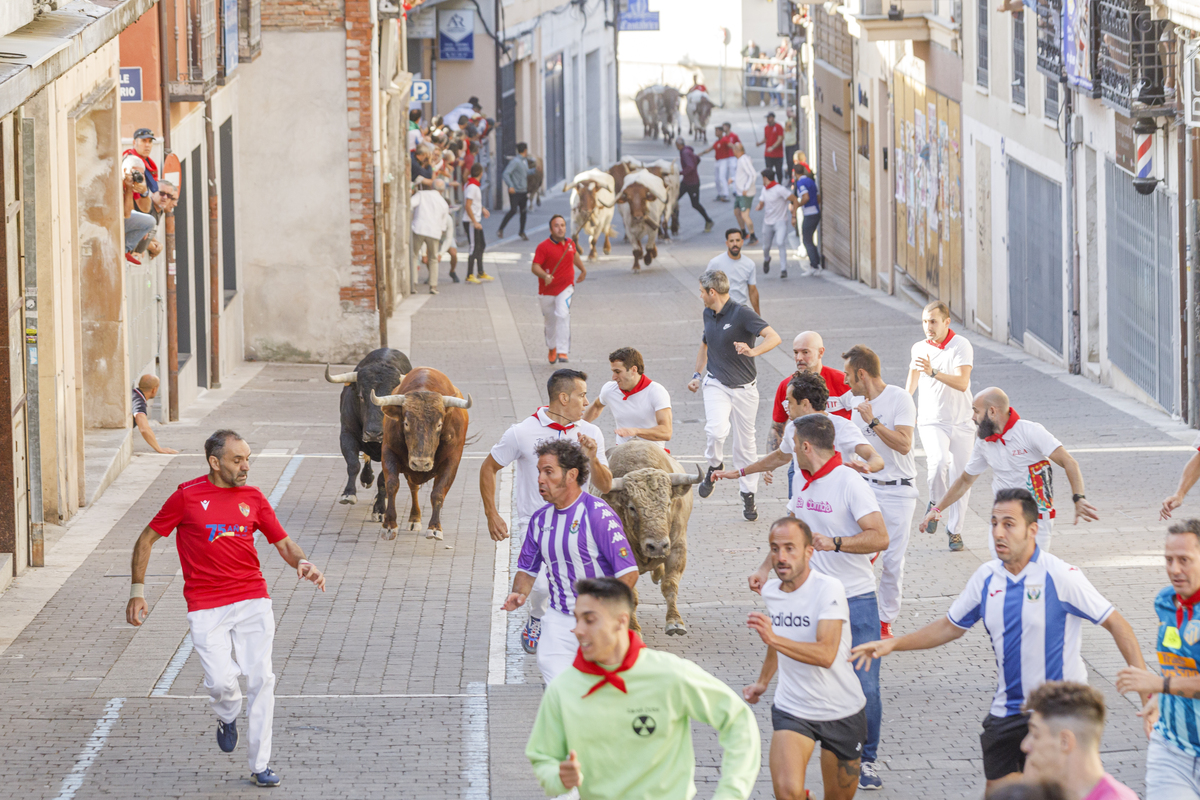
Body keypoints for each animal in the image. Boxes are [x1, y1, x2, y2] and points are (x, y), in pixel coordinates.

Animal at [324, 347, 412, 522]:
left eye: (391, 399)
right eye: (360, 396)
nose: (373, 433)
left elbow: (383, 479)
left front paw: (379, 509)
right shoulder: (347, 436)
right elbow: (353, 464)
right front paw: (348, 494)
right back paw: (366, 478)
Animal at [369, 367, 472, 542]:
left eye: (439, 424)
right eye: (406, 423)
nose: (421, 463)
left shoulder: (452, 460)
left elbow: (438, 492)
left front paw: (435, 528)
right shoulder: (389, 452)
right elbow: (392, 485)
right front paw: (389, 525)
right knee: (413, 488)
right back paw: (414, 519)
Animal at [600, 441, 700, 633]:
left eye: (668, 504)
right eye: (631, 507)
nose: (658, 546)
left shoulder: (677, 547)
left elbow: (670, 584)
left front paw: (675, 621)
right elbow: (631, 594)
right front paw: (633, 629)